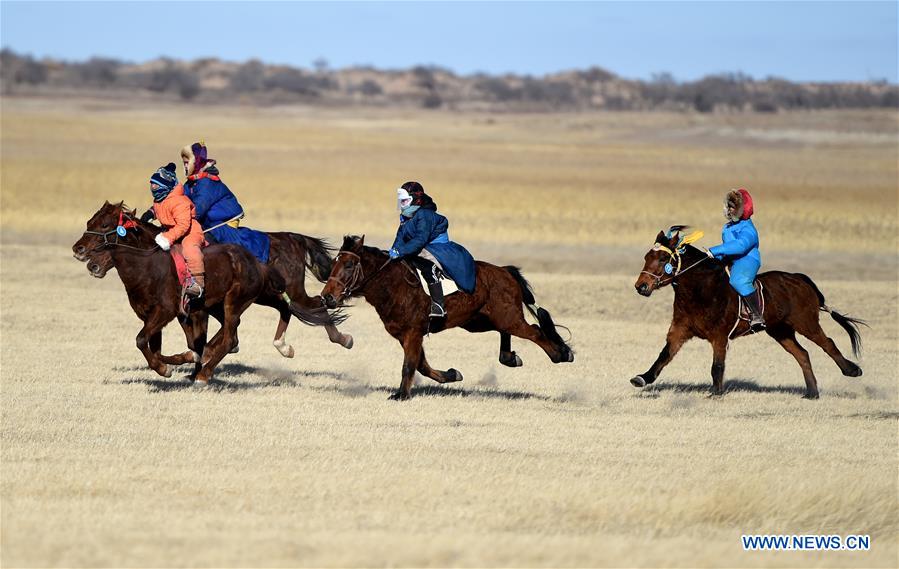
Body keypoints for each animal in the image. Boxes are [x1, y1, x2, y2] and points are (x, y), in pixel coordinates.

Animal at [71, 202, 338, 384]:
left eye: (105, 225)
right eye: (89, 222)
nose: (79, 250)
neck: (149, 265)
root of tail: (294, 239)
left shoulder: (175, 311)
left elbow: (147, 340)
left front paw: (181, 367)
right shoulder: (162, 315)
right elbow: (161, 346)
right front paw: (179, 364)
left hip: (251, 297)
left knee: (311, 305)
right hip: (263, 296)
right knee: (283, 310)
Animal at [324, 235, 572, 400]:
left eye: (348, 264)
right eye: (333, 263)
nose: (327, 297)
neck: (393, 284)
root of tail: (505, 271)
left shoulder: (413, 332)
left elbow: (410, 364)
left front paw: (401, 395)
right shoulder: (405, 335)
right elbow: (421, 365)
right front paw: (452, 375)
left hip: (507, 317)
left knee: (534, 331)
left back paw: (561, 354)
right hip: (480, 321)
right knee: (508, 332)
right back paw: (510, 357)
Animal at [632, 224, 864, 398]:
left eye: (663, 259)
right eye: (646, 257)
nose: (641, 286)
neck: (700, 291)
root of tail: (800, 279)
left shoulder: (720, 336)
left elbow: (717, 366)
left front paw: (716, 393)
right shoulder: (679, 331)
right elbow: (663, 356)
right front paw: (642, 377)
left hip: (806, 323)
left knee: (828, 343)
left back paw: (852, 370)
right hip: (780, 331)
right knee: (803, 354)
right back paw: (812, 393)